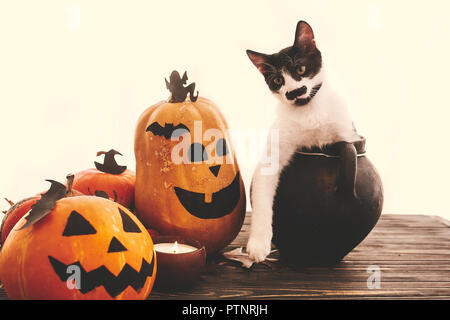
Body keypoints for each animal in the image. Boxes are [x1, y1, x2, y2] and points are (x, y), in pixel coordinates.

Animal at [244, 21, 360, 264]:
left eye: (300, 69)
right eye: (278, 80)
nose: (293, 92)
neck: (308, 111)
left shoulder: (347, 134)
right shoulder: (273, 153)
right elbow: (262, 199)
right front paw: (258, 244)